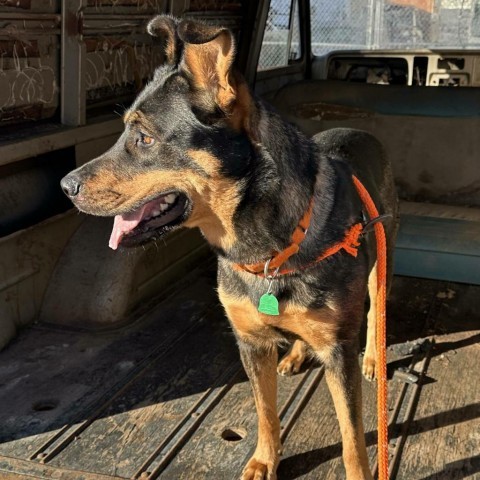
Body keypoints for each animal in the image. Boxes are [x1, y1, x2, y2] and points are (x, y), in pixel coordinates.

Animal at [61, 15, 398, 480]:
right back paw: (295, 354)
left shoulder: (337, 351)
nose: (65, 187)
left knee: (375, 312)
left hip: (380, 263)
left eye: (144, 138)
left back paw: (371, 359)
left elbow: (351, 439)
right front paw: (264, 460)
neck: (266, 251)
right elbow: (265, 411)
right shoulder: (250, 342)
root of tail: (363, 131)